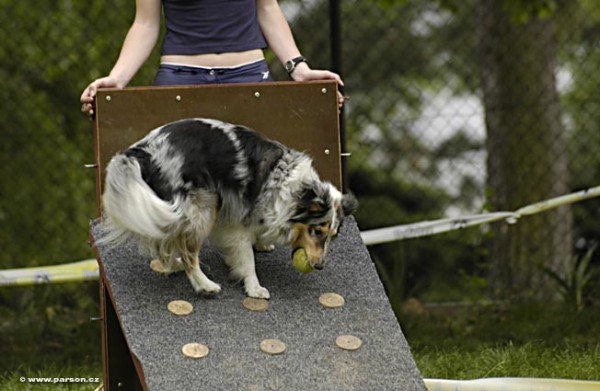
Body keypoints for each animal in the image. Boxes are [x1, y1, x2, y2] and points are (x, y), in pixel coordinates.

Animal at [101, 118, 358, 298]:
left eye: (333, 235)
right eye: (317, 231)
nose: (320, 266)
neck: (289, 186)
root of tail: (141, 151)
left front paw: (262, 244)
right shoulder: (238, 222)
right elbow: (247, 258)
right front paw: (254, 288)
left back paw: (172, 266)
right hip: (205, 205)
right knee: (188, 253)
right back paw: (204, 285)